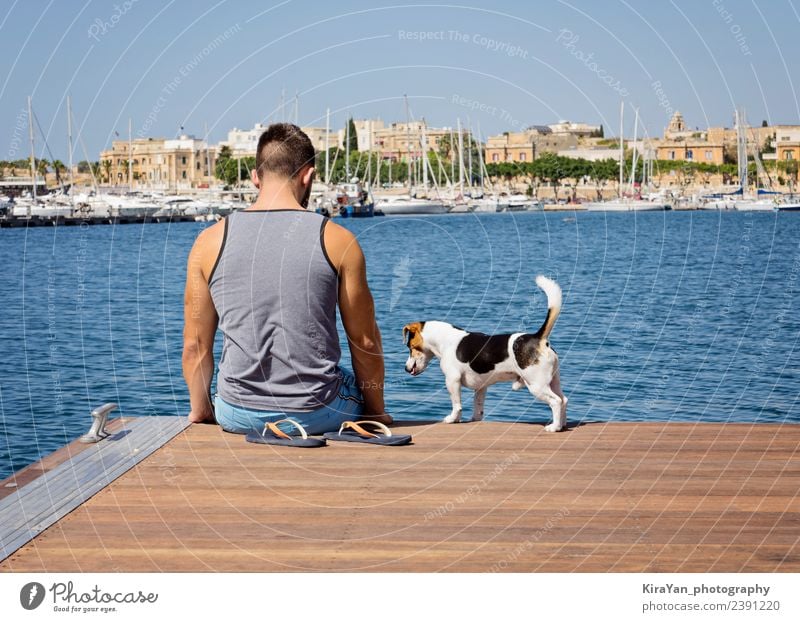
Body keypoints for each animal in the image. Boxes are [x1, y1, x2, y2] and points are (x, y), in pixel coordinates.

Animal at [404, 276, 564, 432]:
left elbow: (456, 404)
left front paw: (452, 419)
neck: (445, 339)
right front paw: (473, 419)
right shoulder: (481, 387)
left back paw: (554, 427)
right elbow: (478, 406)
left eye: (410, 347)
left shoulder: (452, 380)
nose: (406, 368)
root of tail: (538, 338)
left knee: (556, 401)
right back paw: (561, 425)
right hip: (553, 381)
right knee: (564, 400)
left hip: (536, 385)